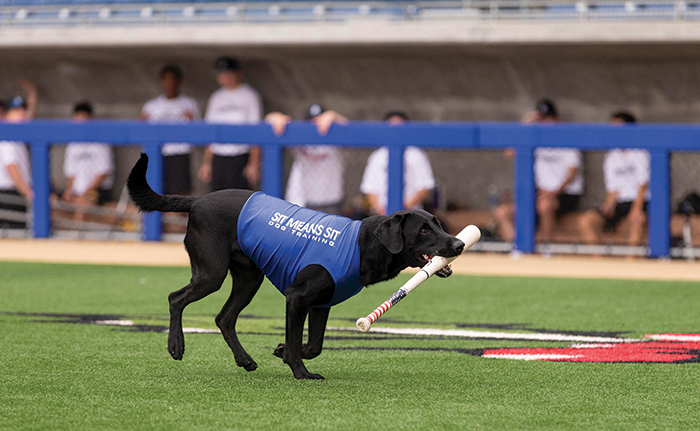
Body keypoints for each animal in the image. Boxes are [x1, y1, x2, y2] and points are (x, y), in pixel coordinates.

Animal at [126, 154, 464, 380]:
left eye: (438, 223)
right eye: (423, 230)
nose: (459, 244)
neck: (360, 245)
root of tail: (196, 201)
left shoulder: (321, 304)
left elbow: (314, 345)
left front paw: (282, 351)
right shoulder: (297, 297)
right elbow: (296, 341)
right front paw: (301, 372)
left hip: (249, 278)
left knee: (224, 318)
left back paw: (245, 360)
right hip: (212, 273)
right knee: (176, 299)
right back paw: (176, 346)